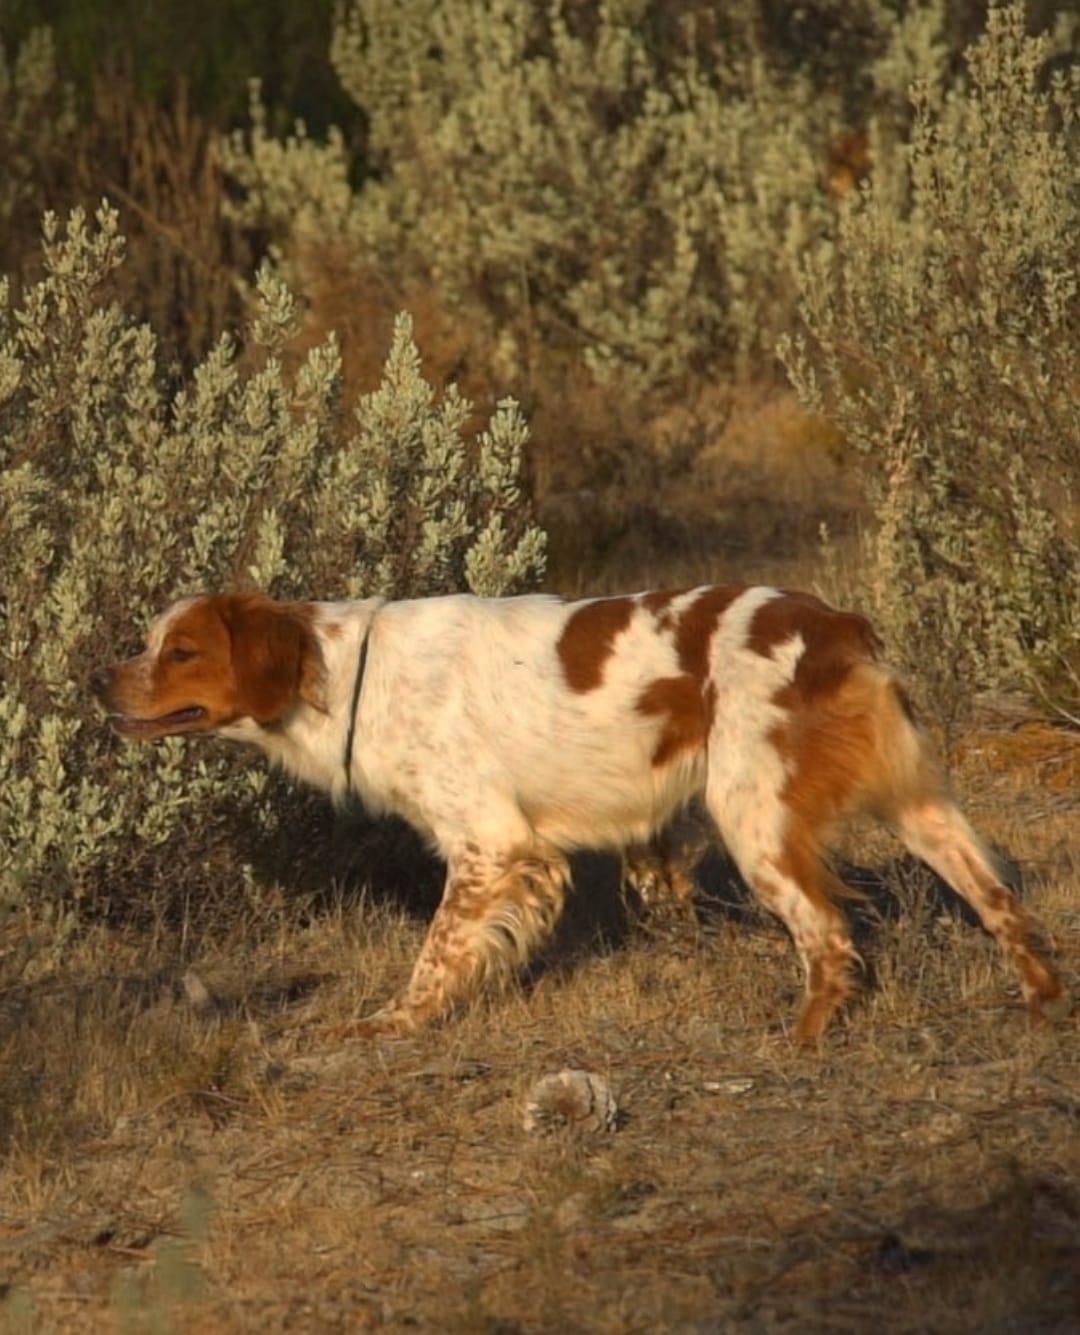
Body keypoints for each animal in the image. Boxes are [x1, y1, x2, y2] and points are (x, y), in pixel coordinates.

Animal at [88, 587, 1067, 1041]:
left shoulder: (491, 844)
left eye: (181, 651)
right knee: (997, 895)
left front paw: (393, 1023)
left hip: (754, 817)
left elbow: (436, 954)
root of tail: (835, 624)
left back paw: (804, 1039)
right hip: (916, 803)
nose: (98, 679)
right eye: (150, 642)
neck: (349, 676)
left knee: (828, 934)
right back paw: (1041, 1001)